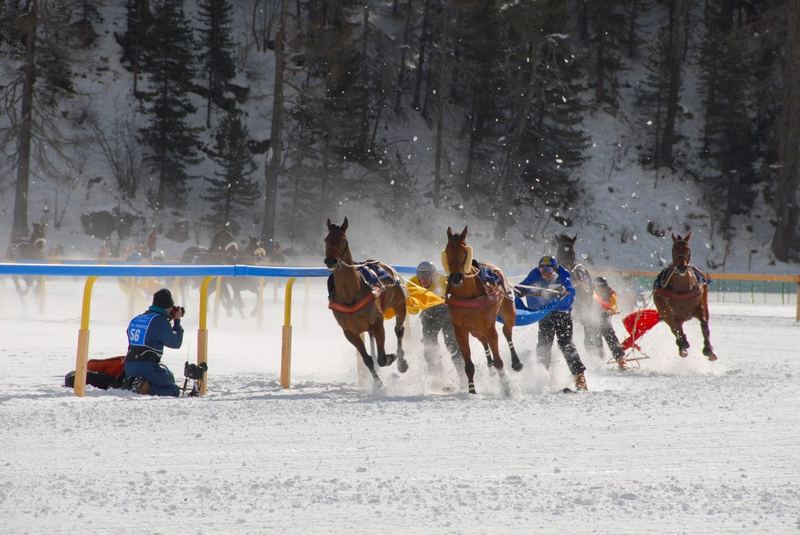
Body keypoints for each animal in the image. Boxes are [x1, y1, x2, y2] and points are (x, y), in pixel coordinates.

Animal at [324, 218, 410, 390]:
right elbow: (367, 359)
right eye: (326, 239)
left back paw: (401, 362)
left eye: (342, 238)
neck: (350, 294)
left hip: (399, 304)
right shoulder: (349, 332)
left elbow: (382, 358)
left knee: (399, 329)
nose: (330, 260)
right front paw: (378, 383)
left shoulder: (377, 322)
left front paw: (391, 357)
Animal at [440, 226, 520, 394]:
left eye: (465, 250)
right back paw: (489, 365)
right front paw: (472, 391)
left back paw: (516, 362)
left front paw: (506, 388)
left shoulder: (489, 326)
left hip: (508, 309)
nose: (455, 277)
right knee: (483, 341)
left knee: (507, 330)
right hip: (475, 330)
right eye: (447, 250)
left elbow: (499, 360)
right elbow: (468, 365)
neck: (469, 296)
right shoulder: (460, 329)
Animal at [652, 230, 716, 360]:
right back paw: (682, 345)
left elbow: (704, 324)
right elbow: (675, 329)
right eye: (674, 249)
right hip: (665, 311)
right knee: (675, 328)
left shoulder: (699, 306)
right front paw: (683, 344)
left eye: (688, 249)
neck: (682, 289)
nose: (682, 267)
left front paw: (708, 349)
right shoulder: (668, 312)